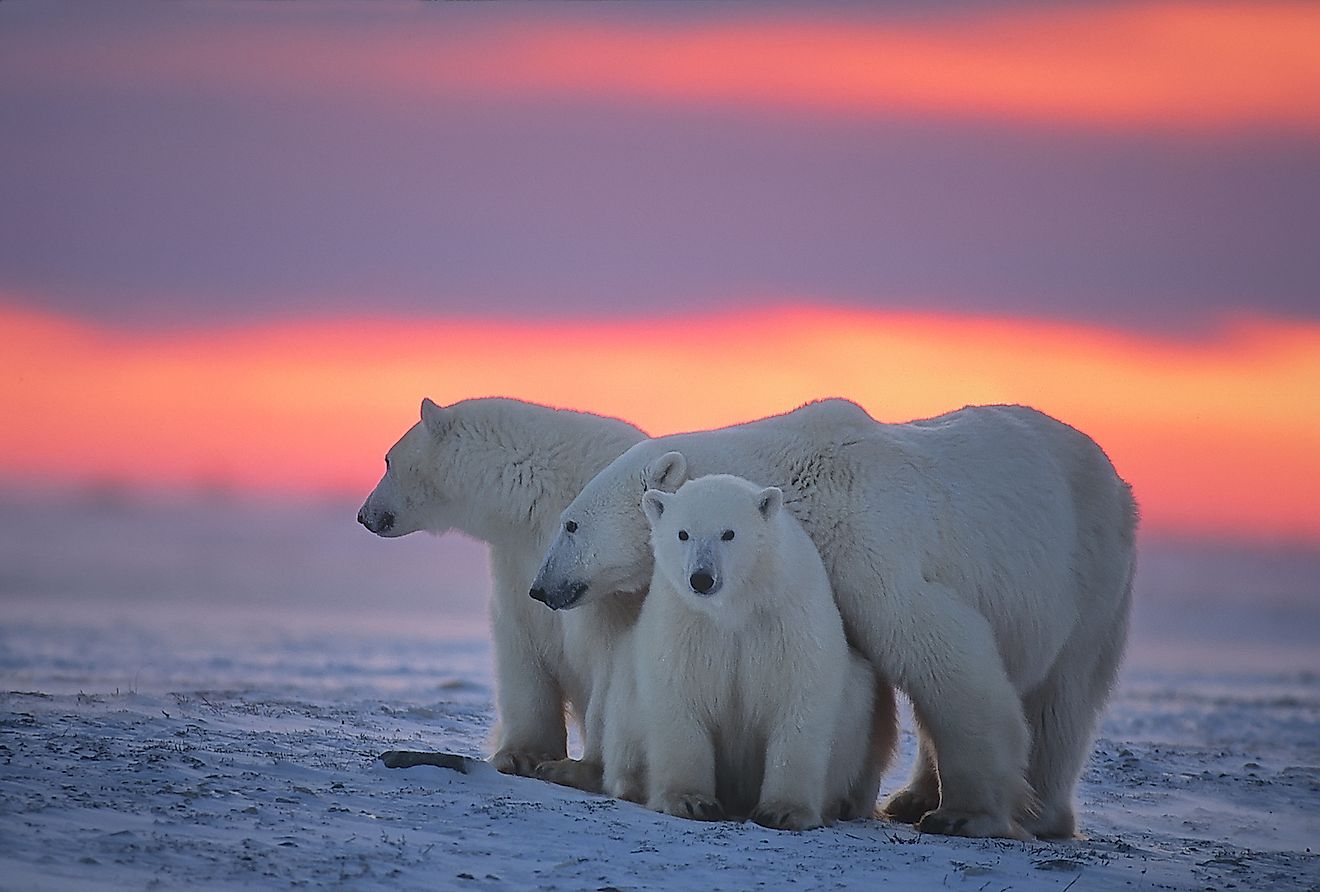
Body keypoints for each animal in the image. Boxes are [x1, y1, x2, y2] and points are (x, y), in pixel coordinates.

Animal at [359, 398, 646, 781]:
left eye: (388, 460)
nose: (364, 515)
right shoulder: (518, 557)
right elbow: (520, 641)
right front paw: (521, 754)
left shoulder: (604, 571)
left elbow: (612, 654)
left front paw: (579, 768)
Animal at [604, 475, 892, 828]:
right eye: (683, 533)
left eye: (728, 533)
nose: (702, 578)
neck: (736, 608)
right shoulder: (684, 623)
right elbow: (678, 696)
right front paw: (691, 801)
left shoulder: (788, 621)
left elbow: (800, 700)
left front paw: (783, 811)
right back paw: (628, 785)